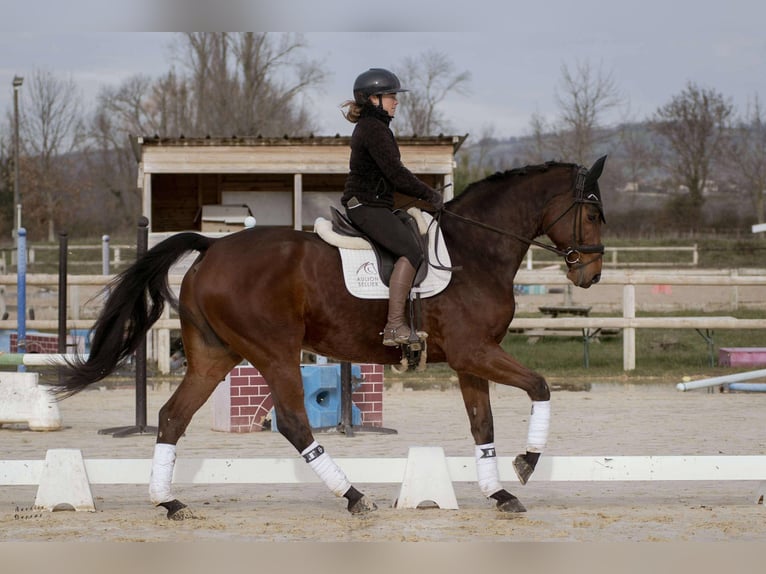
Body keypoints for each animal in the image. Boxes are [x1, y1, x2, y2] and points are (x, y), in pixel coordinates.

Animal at [54, 155, 608, 520]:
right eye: (593, 213)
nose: (592, 275)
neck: (476, 247)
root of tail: (211, 248)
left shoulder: (468, 359)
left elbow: (482, 425)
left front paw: (500, 493)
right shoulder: (477, 351)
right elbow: (539, 386)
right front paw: (526, 465)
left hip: (215, 354)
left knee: (173, 416)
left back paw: (169, 501)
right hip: (274, 352)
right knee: (294, 423)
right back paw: (354, 496)